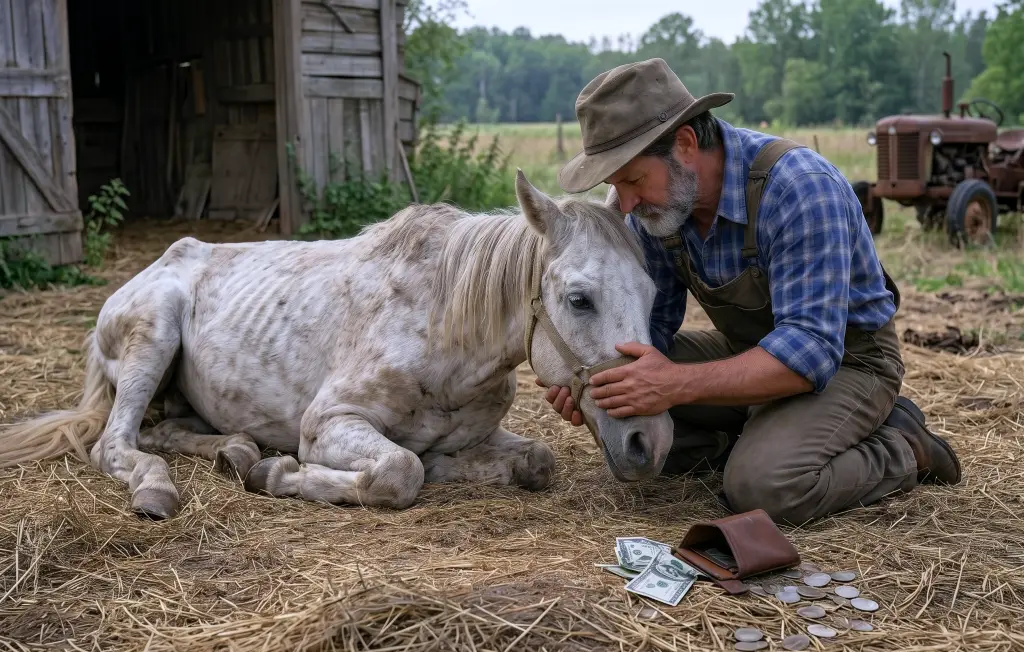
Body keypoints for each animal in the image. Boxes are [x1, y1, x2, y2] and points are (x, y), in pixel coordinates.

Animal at [0, 171, 674, 519]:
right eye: (579, 299)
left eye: (650, 291)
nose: (651, 441)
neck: (441, 331)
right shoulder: (327, 424)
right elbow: (400, 472)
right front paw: (281, 473)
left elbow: (535, 460)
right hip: (154, 334)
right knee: (116, 443)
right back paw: (162, 486)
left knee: (164, 429)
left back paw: (234, 451)